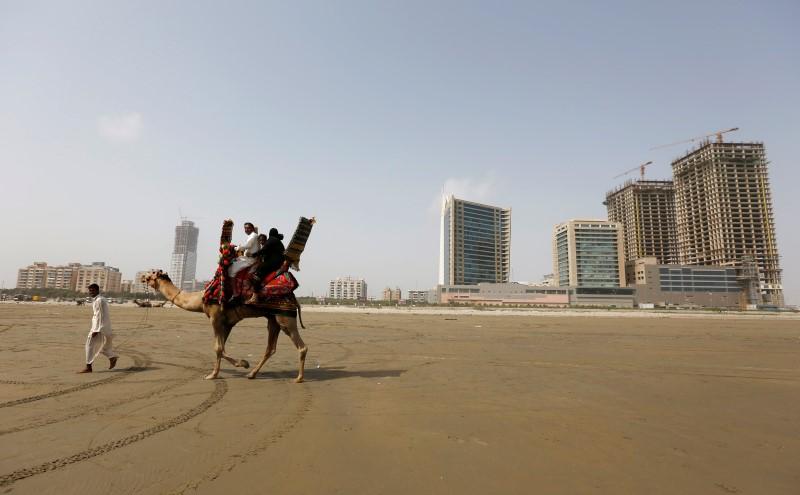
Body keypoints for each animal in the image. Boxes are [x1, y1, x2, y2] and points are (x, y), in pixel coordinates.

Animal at [142, 272, 308, 384]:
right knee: (270, 348)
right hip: (273, 319)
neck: (200, 299)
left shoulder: (215, 317)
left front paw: (213, 375)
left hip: (285, 318)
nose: (141, 277)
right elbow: (222, 347)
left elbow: (217, 348)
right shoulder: (227, 322)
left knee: (302, 346)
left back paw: (299, 378)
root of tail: (294, 298)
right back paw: (252, 374)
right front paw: (243, 363)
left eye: (150, 274)